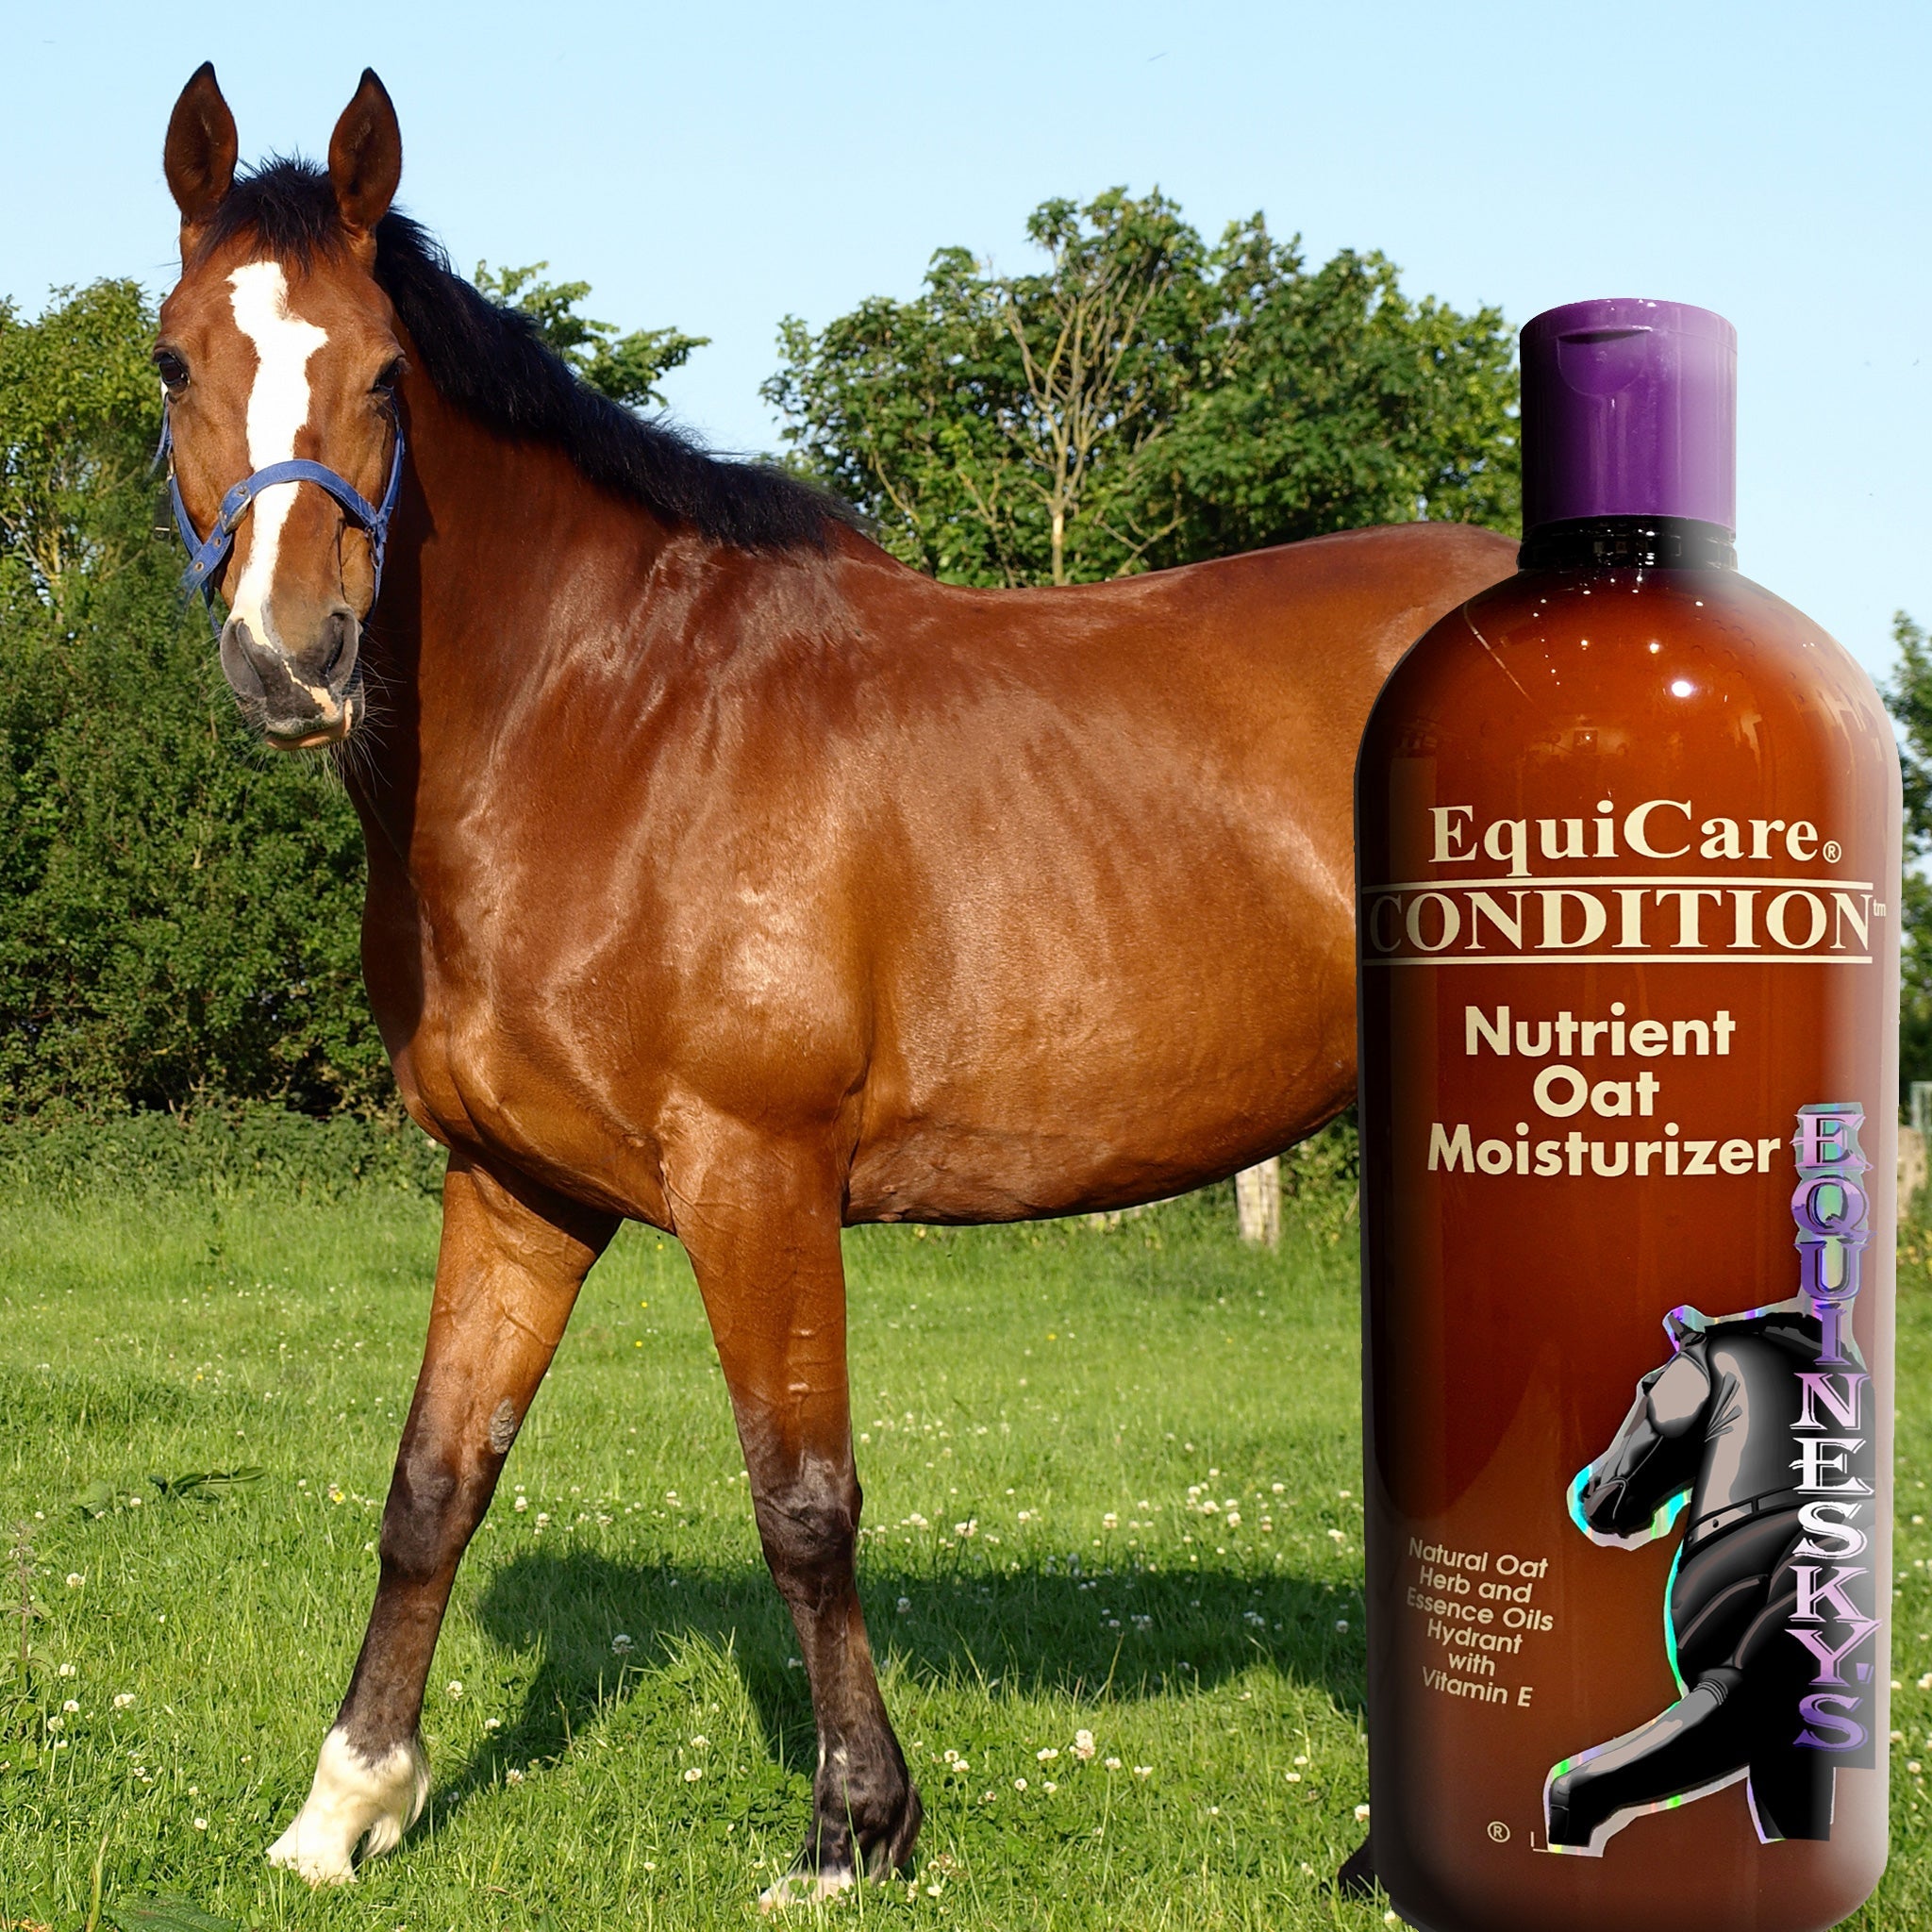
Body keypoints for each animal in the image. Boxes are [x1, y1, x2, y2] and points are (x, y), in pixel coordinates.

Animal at [154, 62, 1516, 1898]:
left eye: (380, 371)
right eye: (174, 359)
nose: (292, 662)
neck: (607, 729)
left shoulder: (757, 1176)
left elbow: (802, 1500)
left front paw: (853, 1826)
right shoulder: (513, 1188)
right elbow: (433, 1482)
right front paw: (345, 1808)